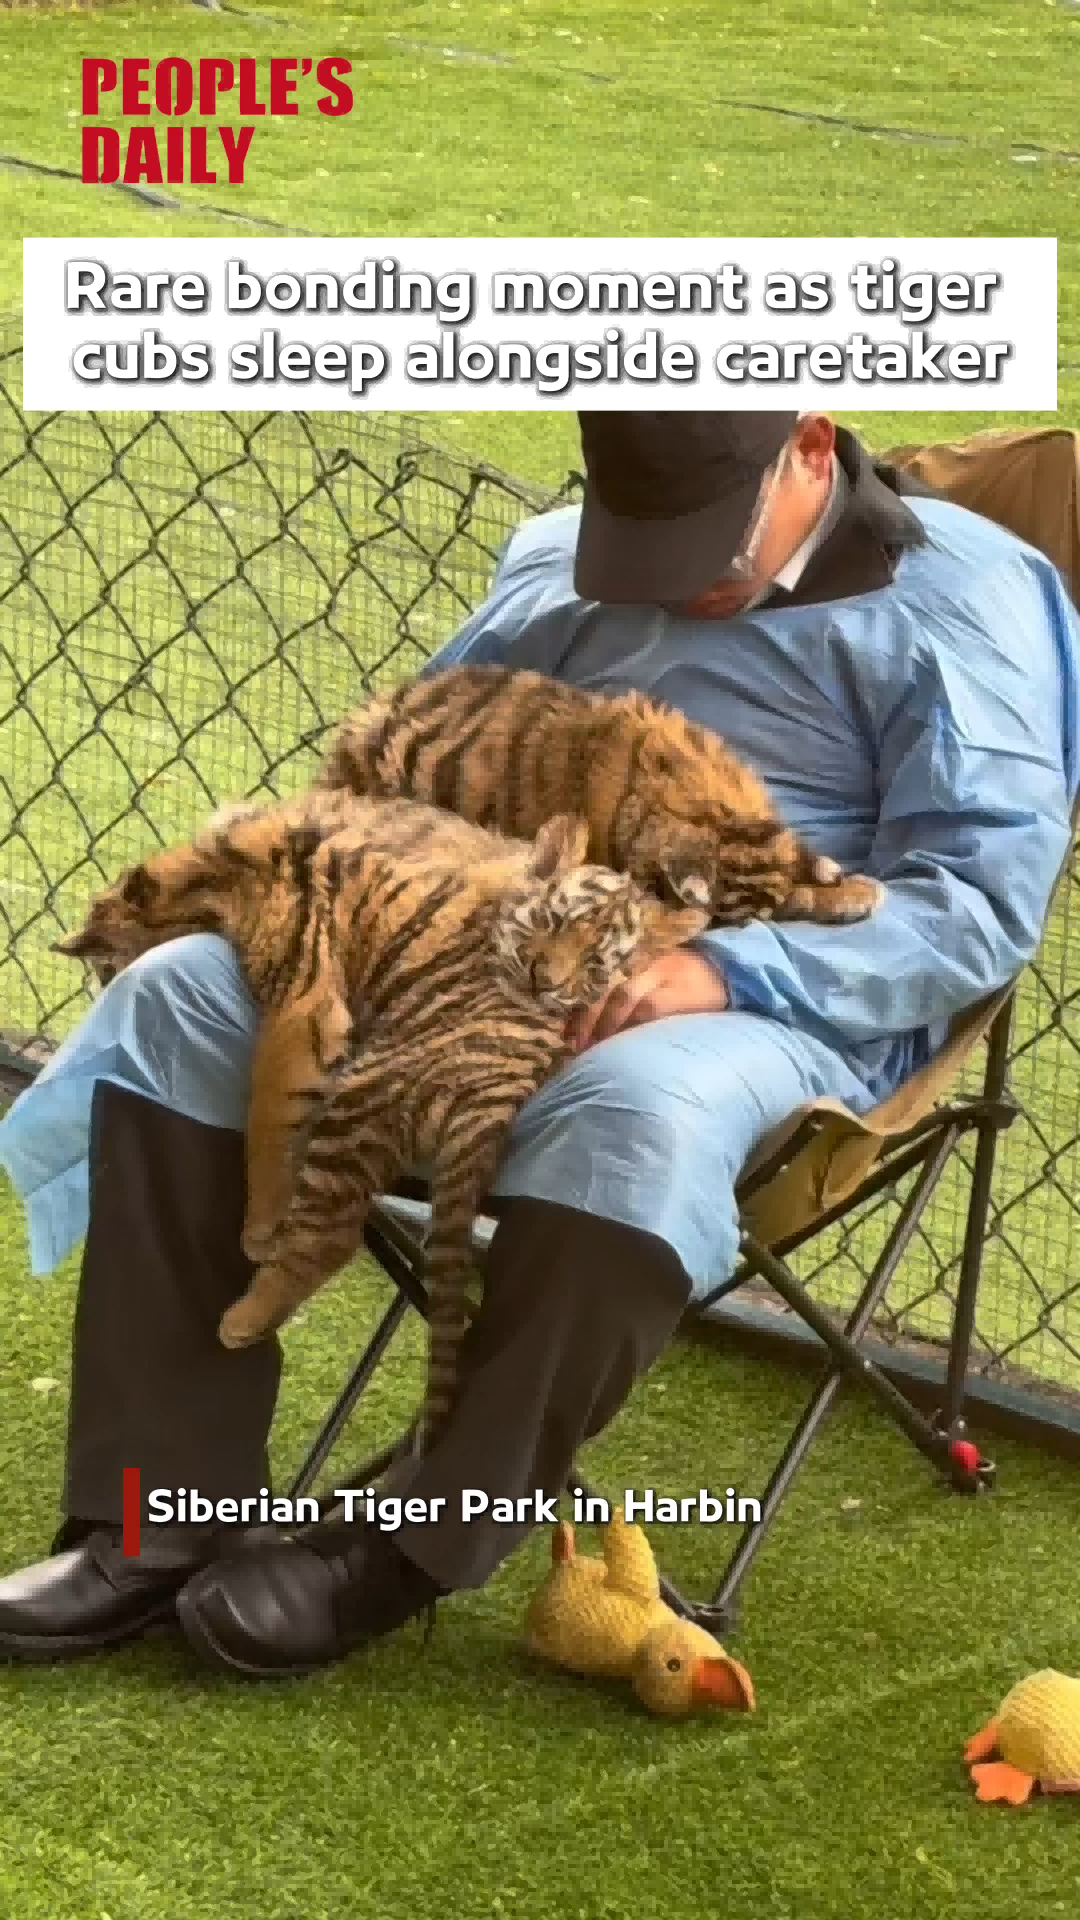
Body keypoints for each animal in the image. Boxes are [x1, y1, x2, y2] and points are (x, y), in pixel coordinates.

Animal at [53, 795, 708, 1453]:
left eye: (108, 966)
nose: (100, 988)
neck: (220, 877)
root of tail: (499, 1096)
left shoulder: (303, 1007)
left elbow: (269, 1120)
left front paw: (259, 1227)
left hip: (359, 1096)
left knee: (332, 1237)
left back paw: (243, 1319)